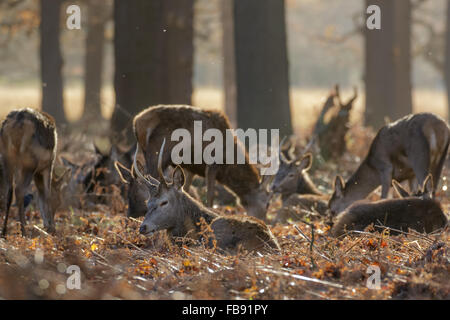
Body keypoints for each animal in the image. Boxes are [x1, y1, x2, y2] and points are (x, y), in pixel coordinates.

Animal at [132, 105, 272, 220]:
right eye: (267, 204)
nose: (265, 221)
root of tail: (137, 122)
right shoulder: (212, 163)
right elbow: (210, 195)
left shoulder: (190, 168)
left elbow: (186, 189)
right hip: (158, 153)